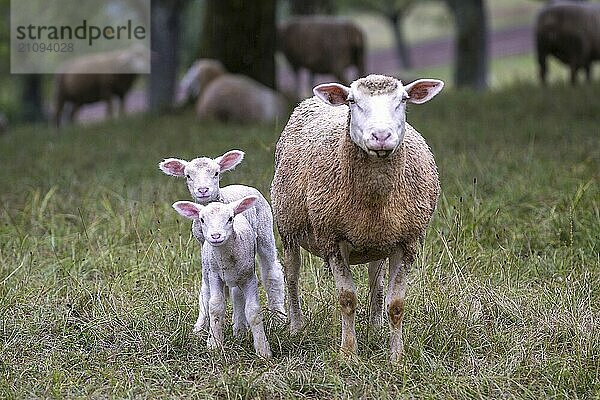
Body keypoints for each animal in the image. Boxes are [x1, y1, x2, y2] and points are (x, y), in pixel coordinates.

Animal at [159, 149, 286, 332]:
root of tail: (242, 185)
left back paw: (278, 316)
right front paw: (200, 327)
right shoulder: (205, 248)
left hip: (265, 232)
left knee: (271, 272)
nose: (203, 190)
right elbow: (206, 288)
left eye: (216, 173)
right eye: (188, 176)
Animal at [172, 197, 274, 360]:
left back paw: (239, 329)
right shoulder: (215, 275)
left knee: (237, 297)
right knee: (205, 296)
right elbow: (215, 306)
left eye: (230, 218)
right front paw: (214, 344)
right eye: (202, 219)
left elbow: (253, 311)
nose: (215, 236)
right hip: (206, 271)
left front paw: (263, 350)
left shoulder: (249, 277)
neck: (227, 258)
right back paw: (200, 328)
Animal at [270, 73, 442, 360]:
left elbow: (396, 303)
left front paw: (397, 357)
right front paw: (348, 353)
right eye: (352, 101)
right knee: (292, 276)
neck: (375, 200)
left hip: (379, 242)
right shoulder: (332, 238)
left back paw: (376, 327)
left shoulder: (407, 241)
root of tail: (309, 101)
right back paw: (296, 327)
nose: (381, 136)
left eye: (403, 99)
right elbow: (347, 299)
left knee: (376, 282)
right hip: (288, 229)